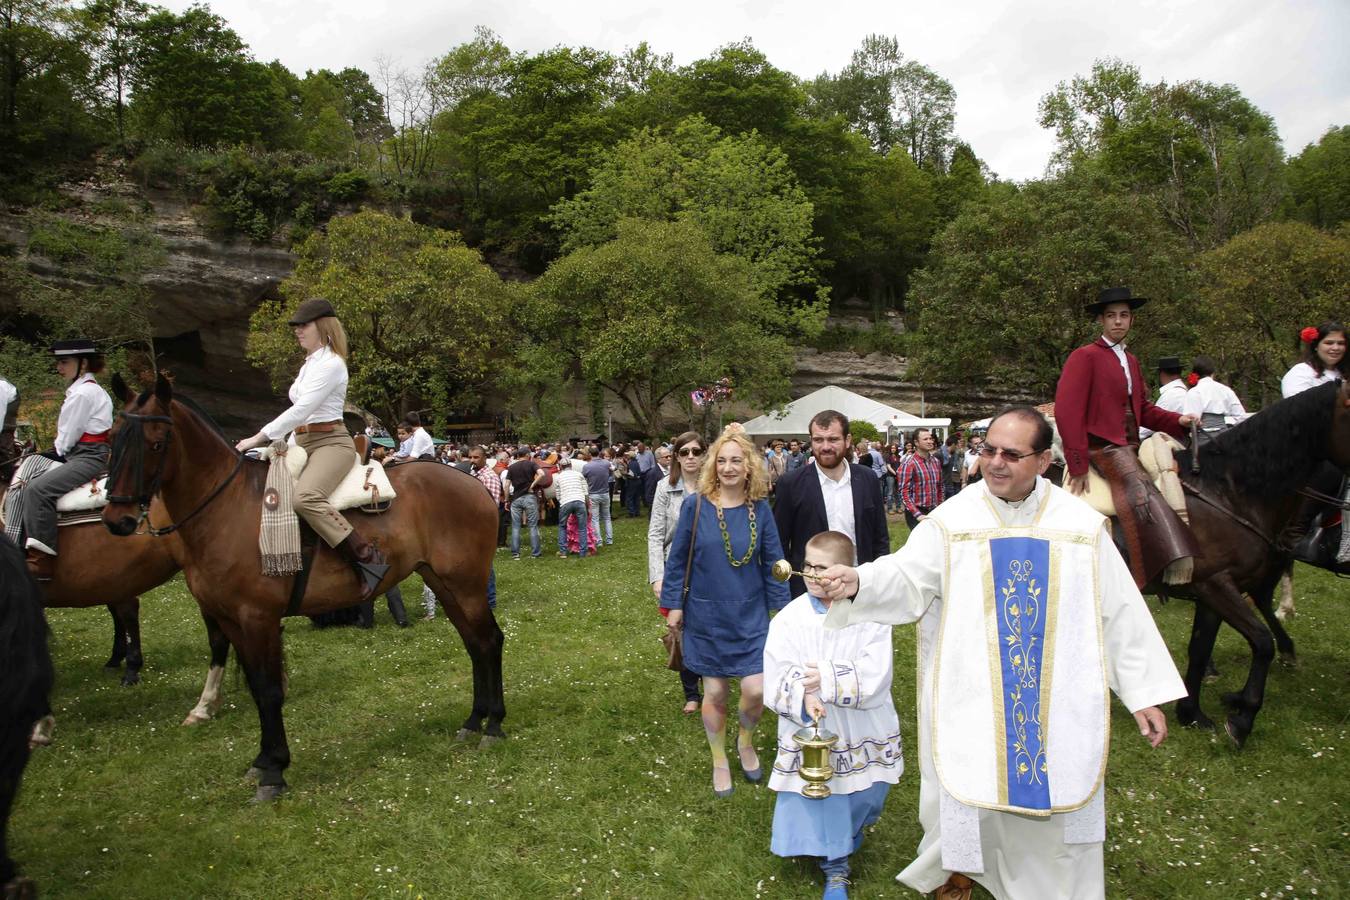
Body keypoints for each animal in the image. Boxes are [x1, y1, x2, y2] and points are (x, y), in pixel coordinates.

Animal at [99, 372, 502, 804]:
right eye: (113, 438)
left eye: (157, 442)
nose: (118, 520)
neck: (228, 509)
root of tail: (474, 483)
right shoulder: (232, 620)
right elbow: (256, 686)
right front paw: (262, 760)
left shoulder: (257, 618)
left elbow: (270, 690)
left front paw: (274, 771)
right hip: (443, 584)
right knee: (474, 644)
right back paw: (474, 720)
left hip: (466, 586)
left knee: (489, 640)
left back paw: (494, 725)